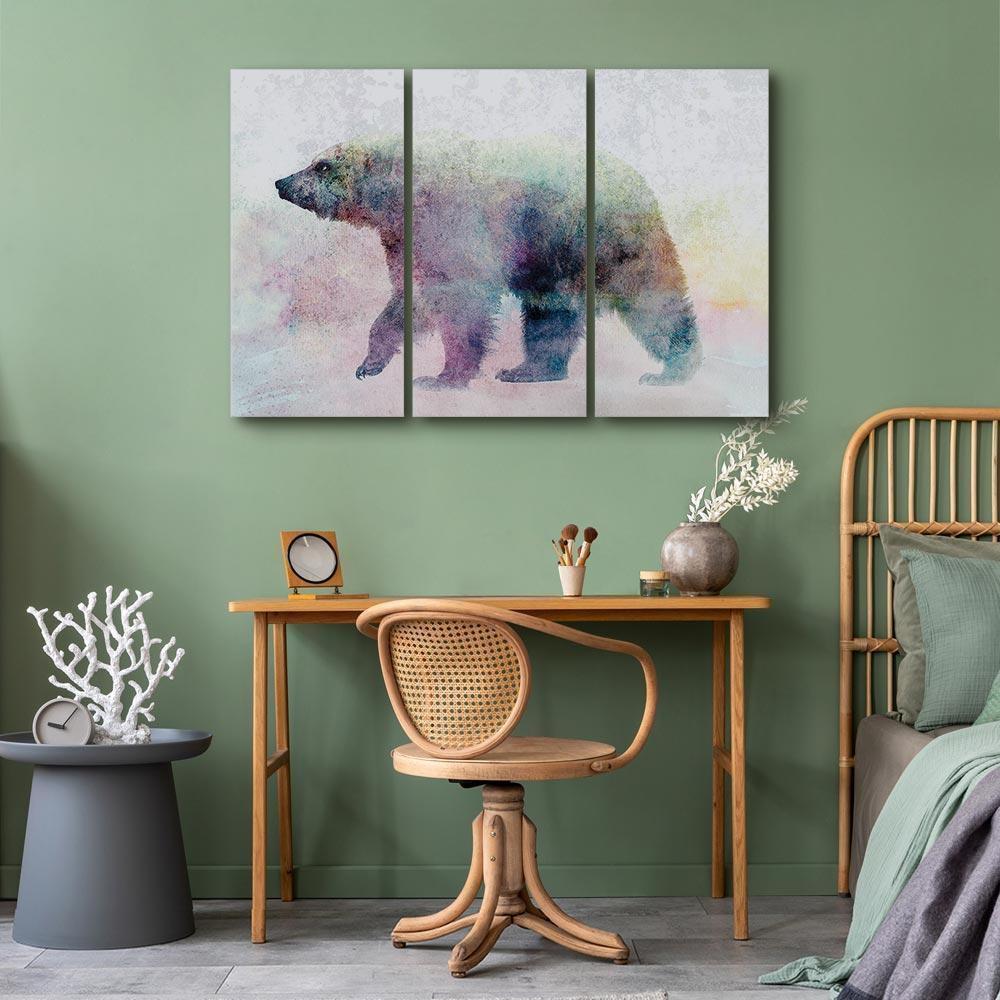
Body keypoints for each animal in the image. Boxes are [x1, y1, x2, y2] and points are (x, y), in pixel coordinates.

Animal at [275, 136, 700, 388]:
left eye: (322, 165)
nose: (281, 182)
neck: (400, 199)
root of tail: (639, 180)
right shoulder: (407, 242)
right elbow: (409, 299)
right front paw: (370, 363)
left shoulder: (453, 226)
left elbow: (461, 303)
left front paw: (443, 376)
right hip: (551, 261)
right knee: (550, 315)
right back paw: (529, 369)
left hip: (607, 242)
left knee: (652, 300)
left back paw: (674, 367)